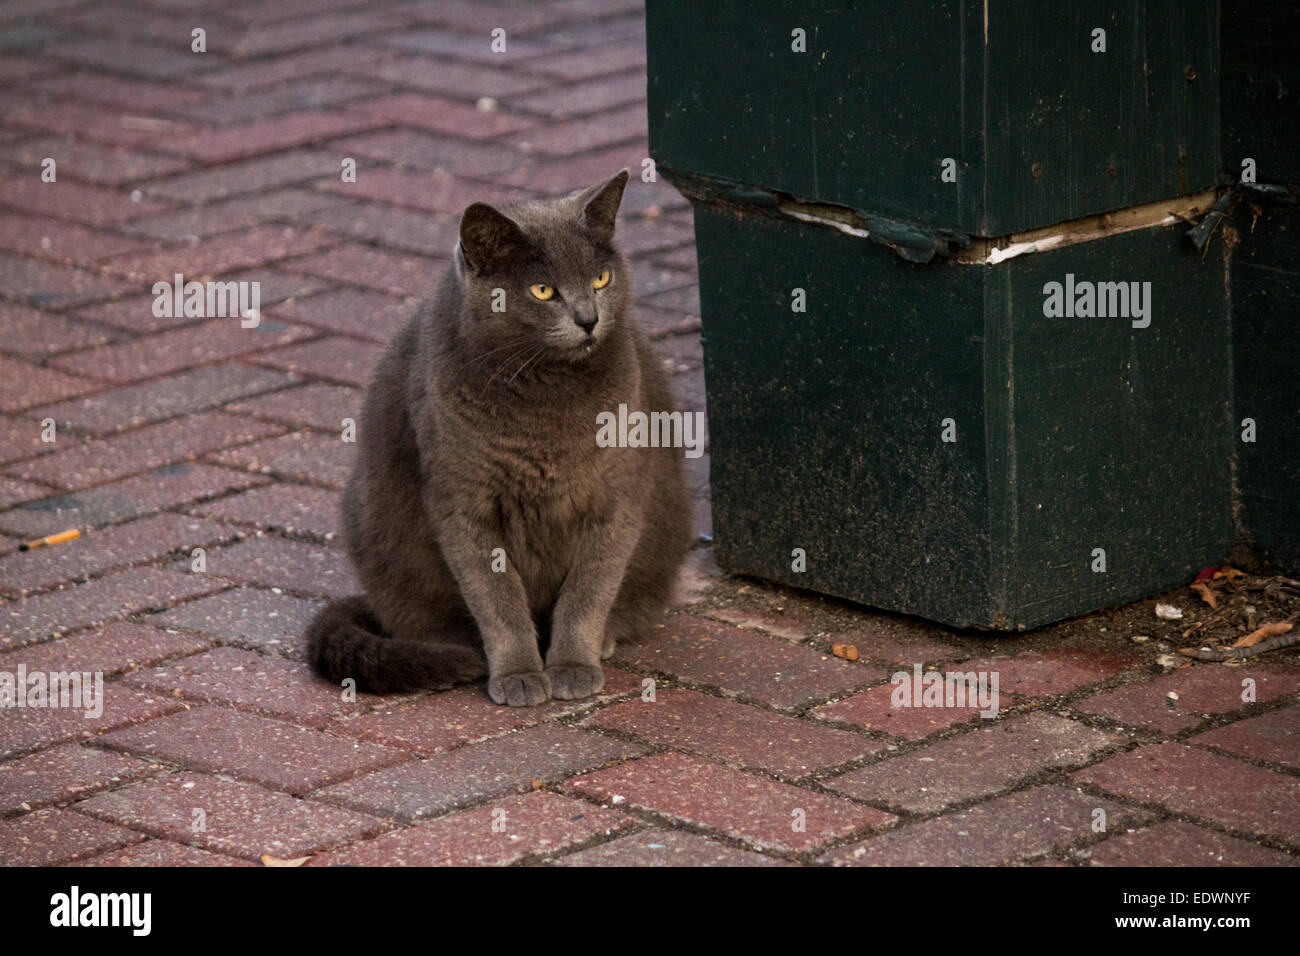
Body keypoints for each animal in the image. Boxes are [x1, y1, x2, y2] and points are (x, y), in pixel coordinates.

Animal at [306, 171, 691, 707]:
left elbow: (588, 591)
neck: (546, 400)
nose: (588, 319)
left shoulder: (617, 498)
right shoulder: (463, 505)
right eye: (543, 290)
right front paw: (519, 674)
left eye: (601, 279)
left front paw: (572, 665)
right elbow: (497, 599)